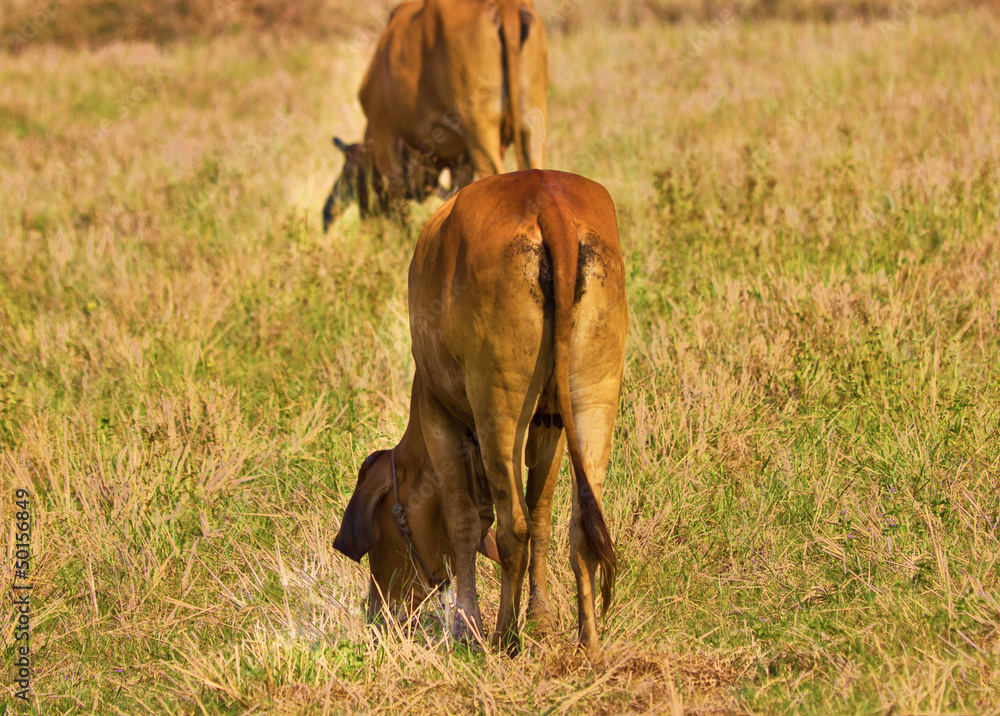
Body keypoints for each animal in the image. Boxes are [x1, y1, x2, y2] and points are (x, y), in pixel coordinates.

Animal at [322, 0, 549, 231]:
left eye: (351, 172)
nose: (327, 214)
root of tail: (504, 5)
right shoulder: (461, 160)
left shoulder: (383, 134)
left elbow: (398, 205)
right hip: (532, 126)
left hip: (481, 133)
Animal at [333, 170, 627, 657]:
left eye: (382, 532)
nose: (377, 614)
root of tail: (547, 199)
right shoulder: (549, 425)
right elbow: (541, 515)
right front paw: (540, 620)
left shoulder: (438, 417)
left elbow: (464, 523)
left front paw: (465, 627)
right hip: (593, 401)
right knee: (579, 528)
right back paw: (587, 643)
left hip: (500, 409)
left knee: (513, 529)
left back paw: (505, 636)